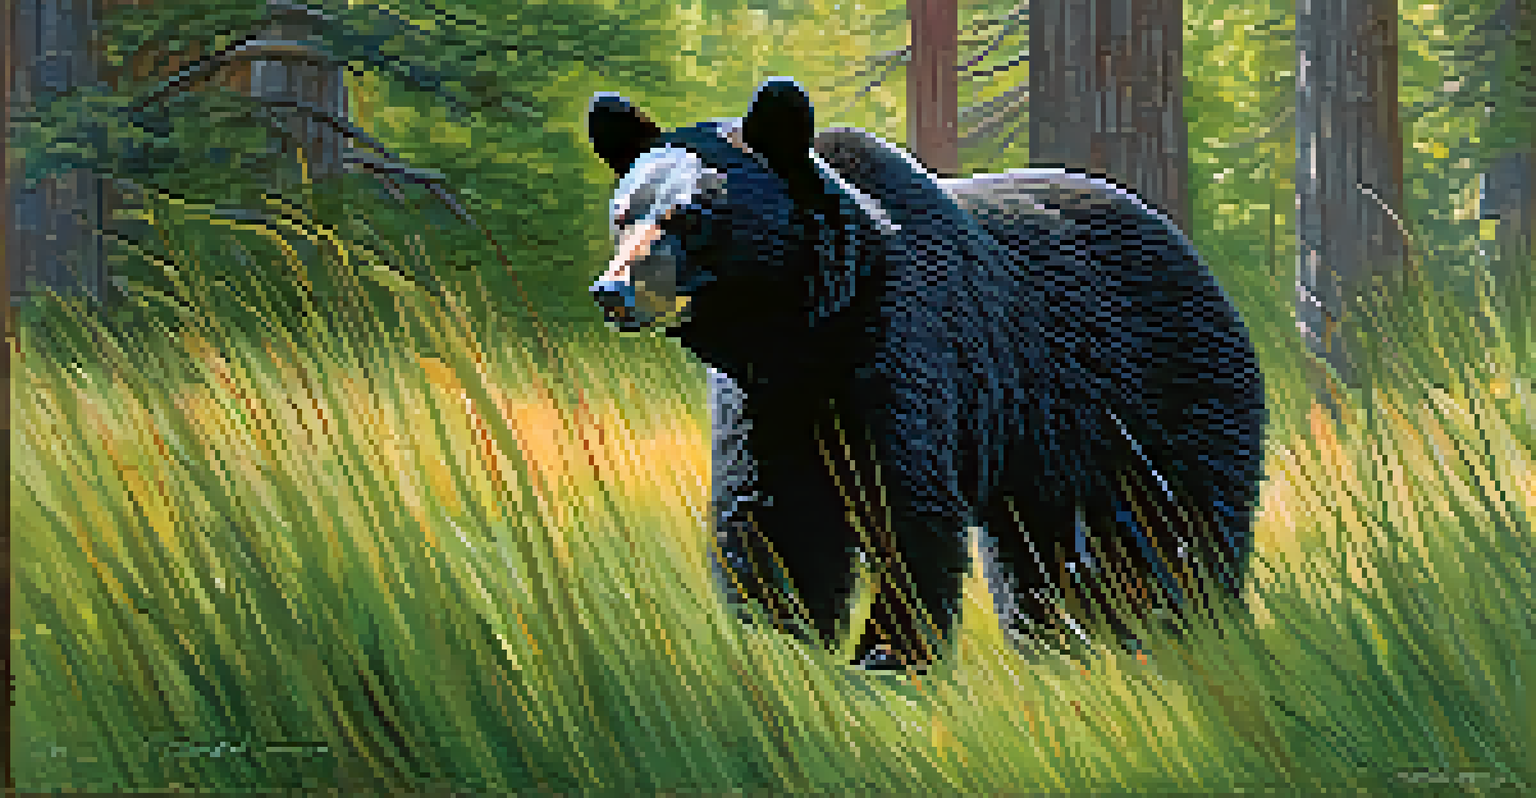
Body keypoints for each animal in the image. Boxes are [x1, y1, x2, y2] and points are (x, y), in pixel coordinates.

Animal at [587, 78, 1266, 672]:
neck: (805, 333)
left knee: (1192, 521)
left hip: (1170, 388)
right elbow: (772, 516)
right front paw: (781, 645)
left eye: (690, 216)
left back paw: (1201, 629)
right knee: (1041, 555)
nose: (613, 291)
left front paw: (888, 658)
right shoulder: (764, 399)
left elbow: (908, 508)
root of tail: (1194, 256)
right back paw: (1061, 646)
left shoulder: (912, 349)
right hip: (1054, 456)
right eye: (623, 214)